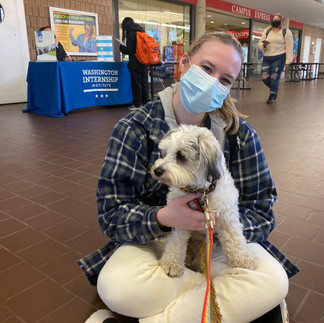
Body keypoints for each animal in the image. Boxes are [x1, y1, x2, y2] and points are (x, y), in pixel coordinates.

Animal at [151, 125, 260, 278]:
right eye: (165, 153)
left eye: (181, 156)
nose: (157, 171)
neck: (201, 191)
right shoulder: (178, 219)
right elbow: (175, 242)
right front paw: (171, 262)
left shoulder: (227, 216)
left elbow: (235, 239)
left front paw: (244, 259)